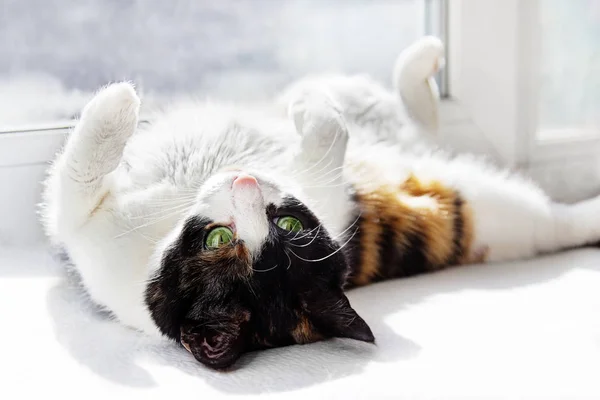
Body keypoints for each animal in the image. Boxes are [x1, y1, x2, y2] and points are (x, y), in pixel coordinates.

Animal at [39, 36, 600, 368]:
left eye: (284, 226)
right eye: (219, 239)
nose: (247, 181)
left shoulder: (83, 224)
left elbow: (76, 174)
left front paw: (117, 103)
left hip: (498, 214)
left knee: (546, 220)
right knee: (418, 120)